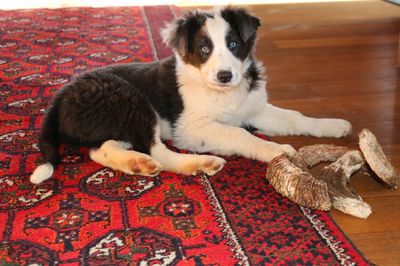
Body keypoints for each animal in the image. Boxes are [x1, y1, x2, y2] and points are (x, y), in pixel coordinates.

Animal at [29, 7, 352, 184]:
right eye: (204, 49)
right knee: (156, 149)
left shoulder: (254, 109)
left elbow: (294, 117)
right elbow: (239, 134)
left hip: (113, 119)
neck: (223, 92)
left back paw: (136, 163)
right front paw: (277, 150)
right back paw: (200, 163)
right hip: (132, 101)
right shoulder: (190, 127)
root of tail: (58, 100)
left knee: (102, 149)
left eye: (234, 44)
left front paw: (333, 125)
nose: (225, 76)